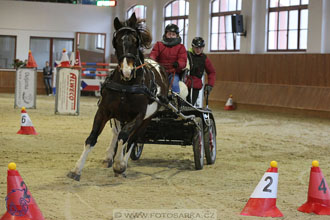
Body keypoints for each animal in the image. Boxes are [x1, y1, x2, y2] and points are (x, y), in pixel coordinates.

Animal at [68, 12, 169, 180]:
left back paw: (122, 163)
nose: (127, 71)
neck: (126, 85)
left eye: (135, 41)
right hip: (118, 116)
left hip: (146, 120)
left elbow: (125, 136)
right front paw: (76, 169)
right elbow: (92, 138)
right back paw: (109, 157)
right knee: (116, 133)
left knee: (133, 138)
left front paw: (119, 165)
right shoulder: (104, 111)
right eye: (116, 42)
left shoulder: (139, 116)